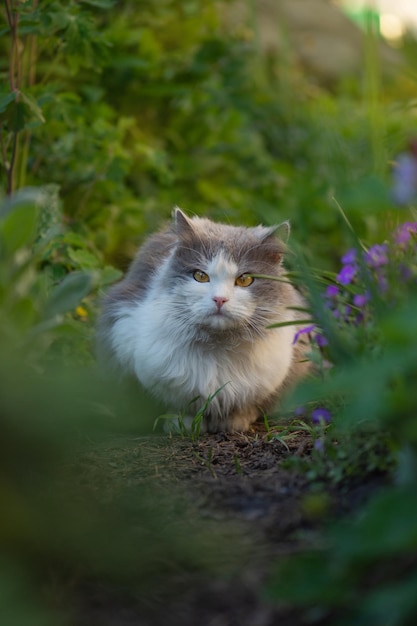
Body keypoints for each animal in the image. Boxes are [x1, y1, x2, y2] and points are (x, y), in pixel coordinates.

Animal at [97, 207, 310, 432]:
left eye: (244, 280)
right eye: (200, 276)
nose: (219, 299)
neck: (218, 348)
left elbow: (246, 406)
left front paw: (234, 423)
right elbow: (180, 407)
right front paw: (182, 425)